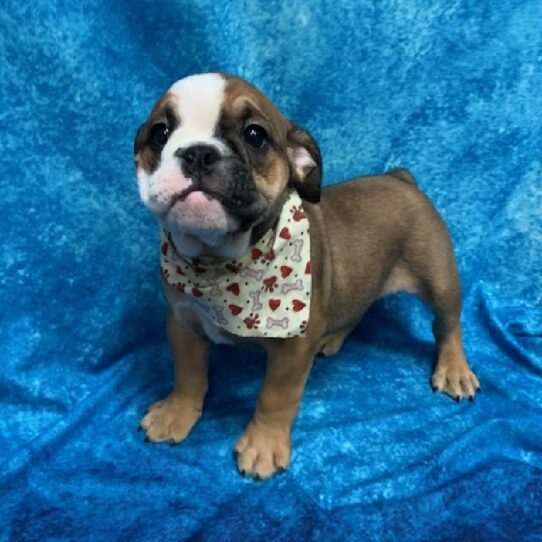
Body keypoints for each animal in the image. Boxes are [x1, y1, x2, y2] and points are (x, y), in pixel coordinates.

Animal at [135, 71, 480, 480]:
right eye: (159, 133)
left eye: (255, 135)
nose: (198, 152)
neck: (218, 263)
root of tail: (401, 179)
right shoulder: (182, 324)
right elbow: (188, 375)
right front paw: (176, 413)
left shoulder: (291, 349)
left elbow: (275, 398)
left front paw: (263, 445)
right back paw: (331, 339)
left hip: (439, 279)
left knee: (447, 325)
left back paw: (454, 369)